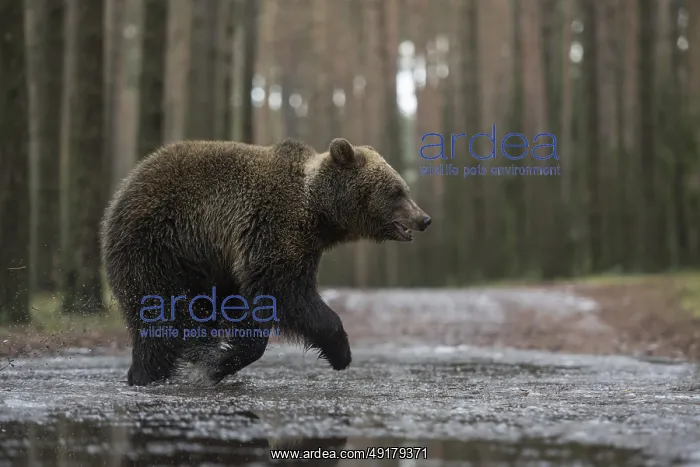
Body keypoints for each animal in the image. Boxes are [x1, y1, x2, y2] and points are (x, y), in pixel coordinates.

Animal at [100, 137, 431, 386]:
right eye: (396, 192)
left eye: (404, 189)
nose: (424, 218)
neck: (319, 214)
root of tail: (122, 191)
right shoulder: (274, 231)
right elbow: (288, 294)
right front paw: (340, 351)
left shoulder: (250, 259)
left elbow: (254, 308)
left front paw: (219, 360)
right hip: (160, 247)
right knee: (159, 318)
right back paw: (146, 375)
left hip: (200, 266)